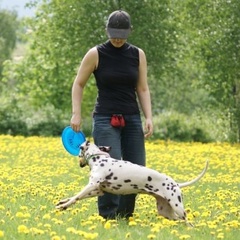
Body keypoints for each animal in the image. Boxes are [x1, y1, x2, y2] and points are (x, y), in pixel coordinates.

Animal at [56, 141, 208, 223]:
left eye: (79, 150)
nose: (79, 163)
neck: (99, 159)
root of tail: (176, 184)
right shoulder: (98, 190)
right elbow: (75, 197)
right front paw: (63, 202)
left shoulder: (91, 185)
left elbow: (76, 197)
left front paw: (64, 206)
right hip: (165, 211)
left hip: (177, 207)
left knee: (188, 222)